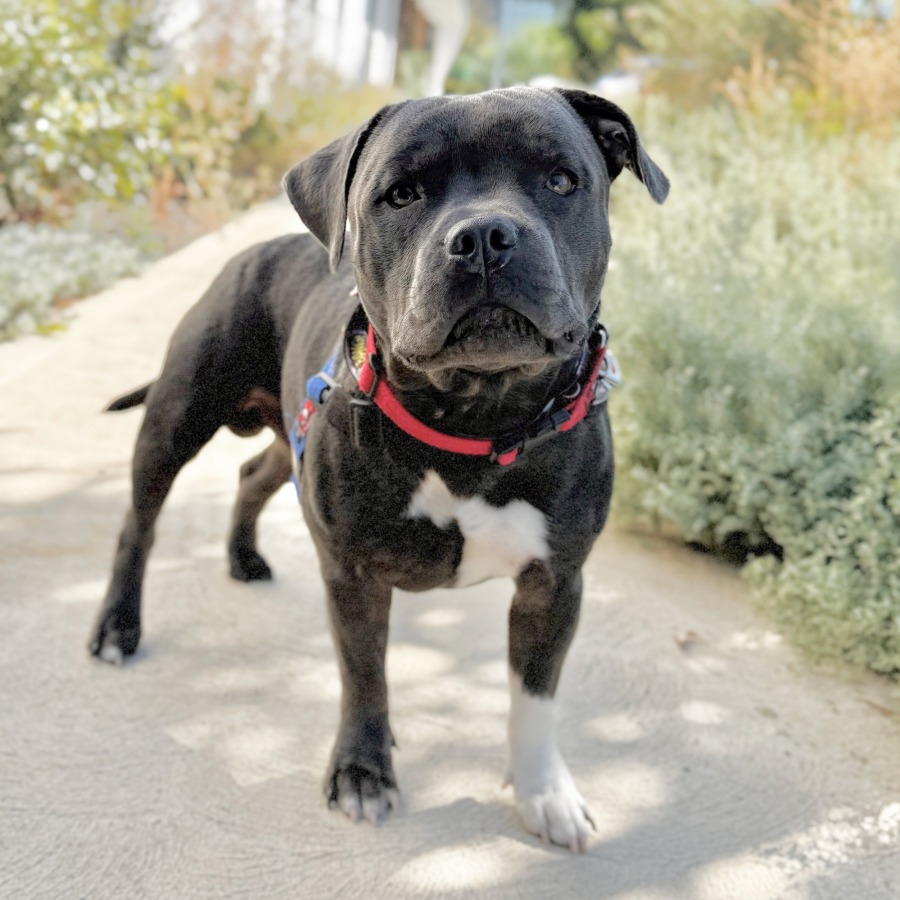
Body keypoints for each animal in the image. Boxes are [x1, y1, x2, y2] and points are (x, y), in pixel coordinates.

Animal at [90, 87, 668, 852]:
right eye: (402, 194)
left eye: (560, 180)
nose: (485, 235)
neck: (475, 421)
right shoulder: (355, 574)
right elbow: (365, 676)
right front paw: (363, 774)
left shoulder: (554, 586)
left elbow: (534, 699)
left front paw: (544, 792)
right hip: (176, 419)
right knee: (140, 522)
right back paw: (117, 626)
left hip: (291, 434)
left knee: (251, 475)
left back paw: (244, 557)